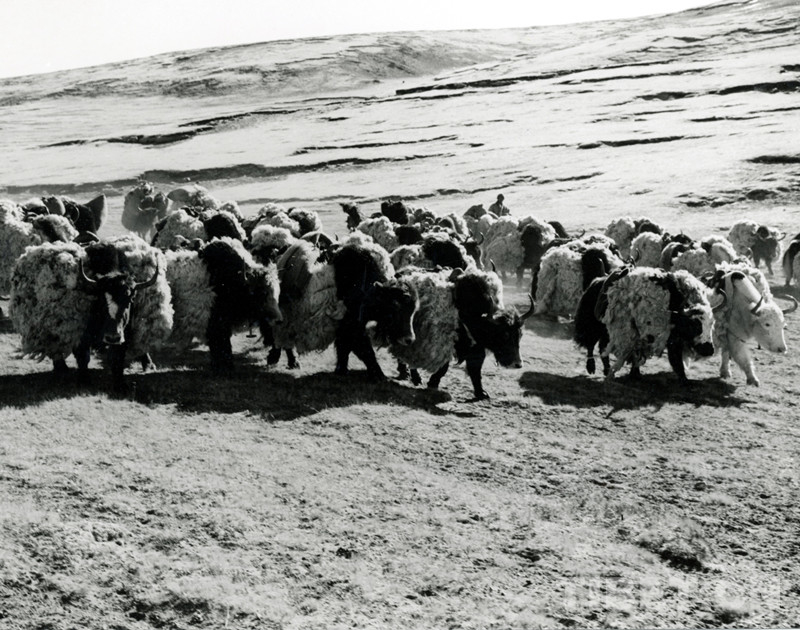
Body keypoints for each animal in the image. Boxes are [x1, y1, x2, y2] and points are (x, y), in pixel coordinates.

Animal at [9, 236, 172, 390]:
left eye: (130, 299)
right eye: (100, 299)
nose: (112, 337)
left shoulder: (125, 331)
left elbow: (118, 357)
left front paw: (120, 384)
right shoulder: (81, 332)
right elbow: (83, 357)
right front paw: (83, 380)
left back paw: (148, 365)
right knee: (55, 345)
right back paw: (61, 367)